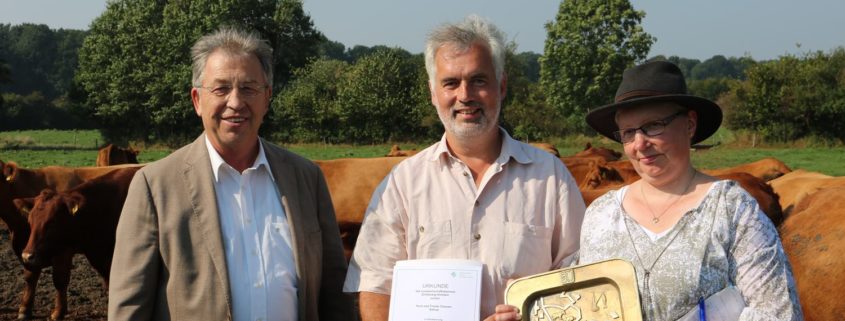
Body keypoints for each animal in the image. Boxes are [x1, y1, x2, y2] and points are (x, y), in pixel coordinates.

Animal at [0, 161, 142, 318]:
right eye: (30, 221)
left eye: (52, 223)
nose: (27, 255)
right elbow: (30, 276)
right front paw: (24, 309)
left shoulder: (63, 251)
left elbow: (60, 280)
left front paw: (58, 313)